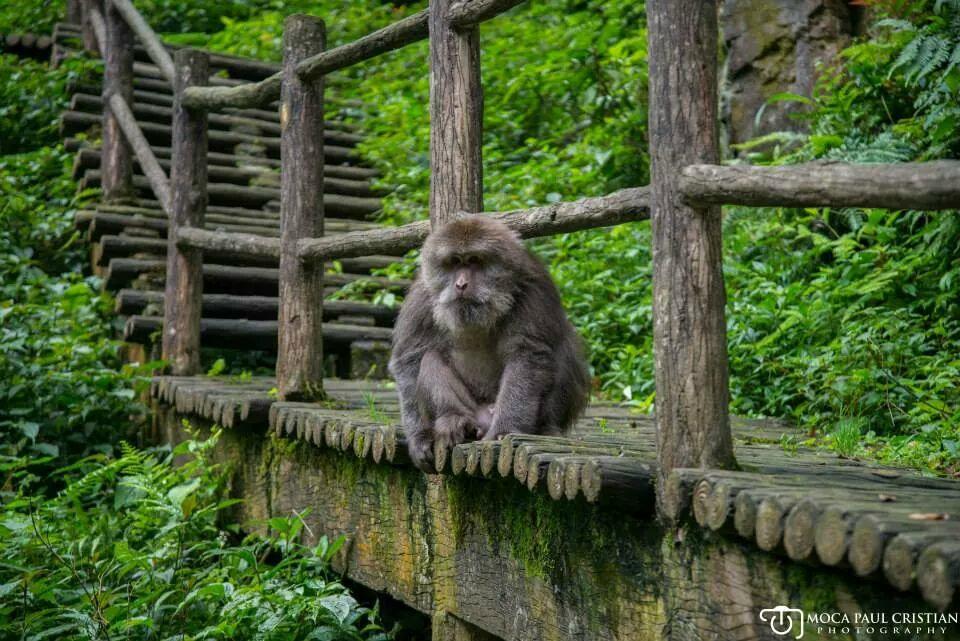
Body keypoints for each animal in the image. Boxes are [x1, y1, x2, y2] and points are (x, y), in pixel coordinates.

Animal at [388, 215, 584, 470]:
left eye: (474, 261)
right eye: (454, 262)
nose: (460, 285)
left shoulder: (533, 287)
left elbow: (528, 353)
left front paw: (505, 429)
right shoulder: (421, 295)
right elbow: (409, 357)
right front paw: (420, 437)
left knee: (562, 351)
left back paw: (545, 429)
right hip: (472, 410)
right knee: (429, 358)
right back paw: (454, 420)